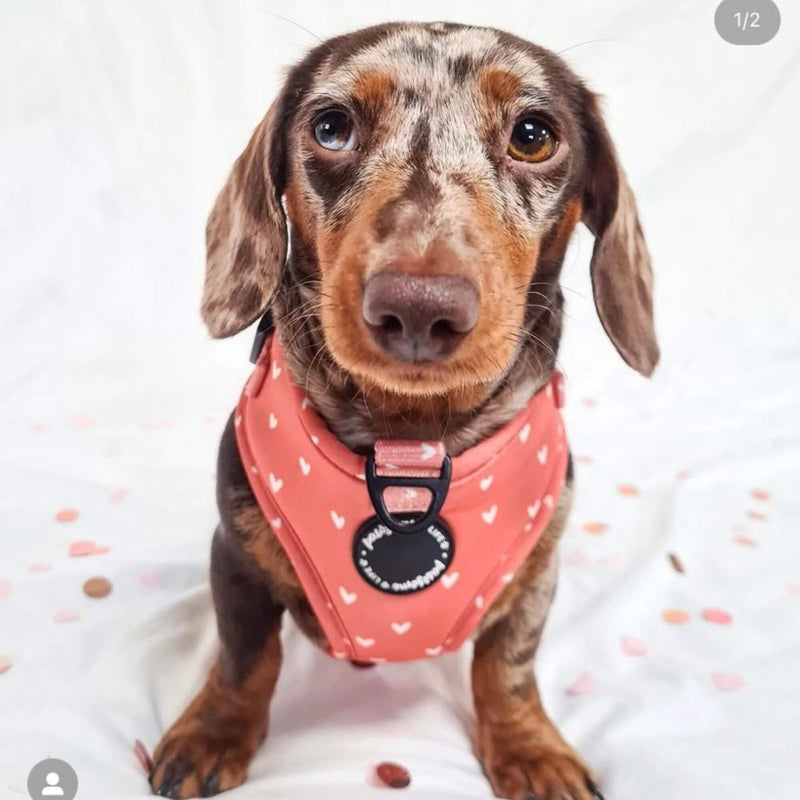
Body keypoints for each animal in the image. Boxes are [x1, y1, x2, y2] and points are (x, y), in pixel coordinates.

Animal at [148, 18, 656, 800]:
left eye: (533, 134)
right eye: (332, 127)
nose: (419, 309)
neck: (409, 441)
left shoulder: (536, 577)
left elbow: (508, 671)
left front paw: (531, 750)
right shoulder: (234, 557)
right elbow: (244, 657)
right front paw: (214, 732)